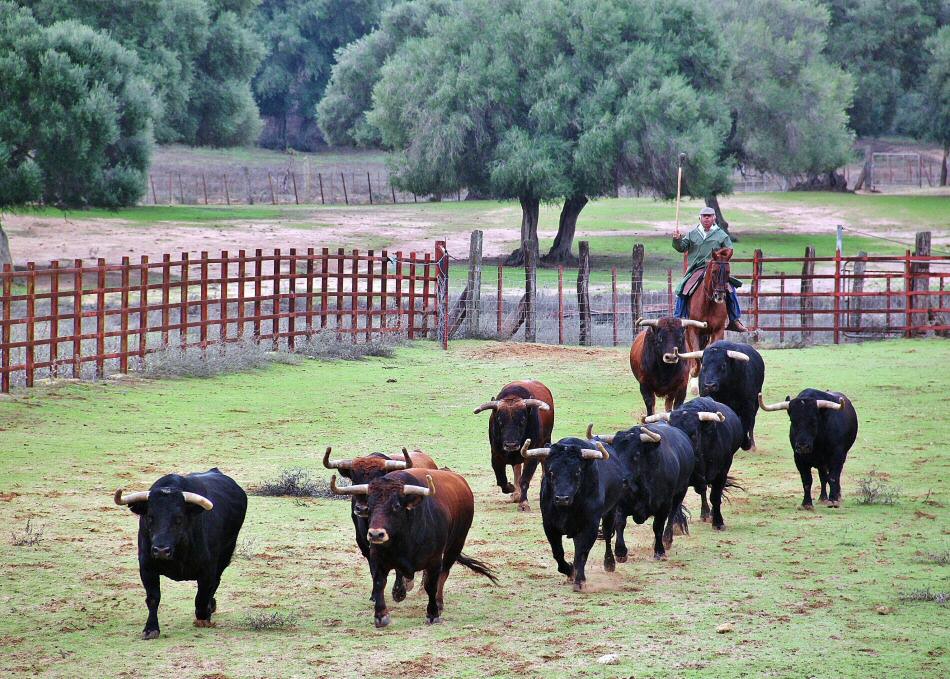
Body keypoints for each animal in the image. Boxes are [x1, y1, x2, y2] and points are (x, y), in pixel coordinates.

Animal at [472, 382, 556, 510]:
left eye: (523, 420)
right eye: (499, 421)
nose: (511, 445)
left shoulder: (531, 456)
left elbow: (525, 479)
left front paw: (524, 503)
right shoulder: (496, 455)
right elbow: (501, 480)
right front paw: (512, 489)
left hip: (546, 440)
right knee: (516, 469)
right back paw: (516, 494)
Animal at [684, 250, 736, 378]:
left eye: (728, 272)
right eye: (714, 271)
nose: (719, 295)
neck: (708, 303)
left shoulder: (718, 331)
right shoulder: (693, 330)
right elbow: (696, 354)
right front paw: (695, 371)